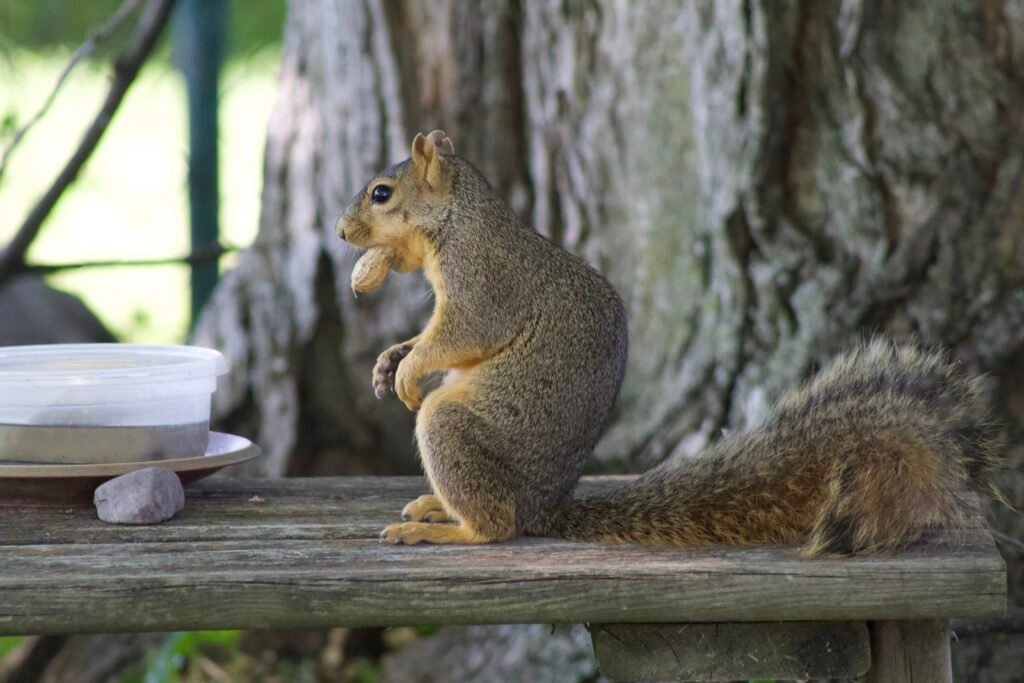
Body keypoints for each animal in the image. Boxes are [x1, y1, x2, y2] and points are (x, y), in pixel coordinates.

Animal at [335, 130, 1004, 555]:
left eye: (381, 193)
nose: (341, 232)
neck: (457, 221)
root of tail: (544, 505)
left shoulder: (483, 279)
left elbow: (465, 331)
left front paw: (410, 366)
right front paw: (393, 357)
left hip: (453, 429)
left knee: (497, 526)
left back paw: (445, 529)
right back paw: (434, 507)